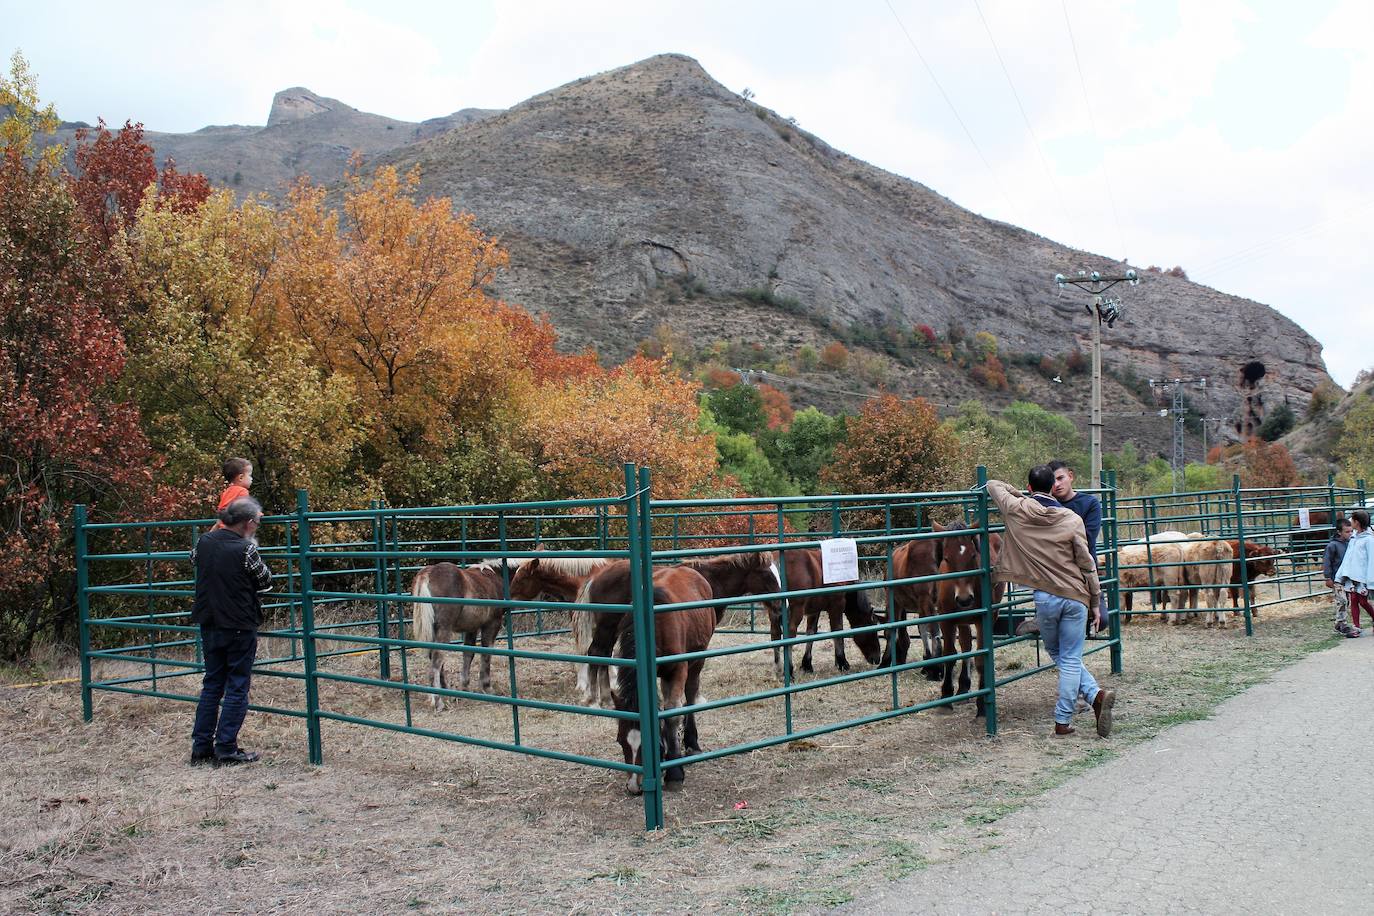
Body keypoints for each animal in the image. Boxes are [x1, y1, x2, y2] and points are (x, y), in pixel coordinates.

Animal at [412, 563, 511, 714]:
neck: (496, 574)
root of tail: (426, 574)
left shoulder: (472, 627)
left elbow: (468, 654)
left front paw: (464, 687)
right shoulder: (492, 624)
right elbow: (486, 653)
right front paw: (487, 687)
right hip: (444, 629)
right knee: (436, 661)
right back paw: (438, 702)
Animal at [612, 565, 719, 796]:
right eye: (620, 740)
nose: (634, 786)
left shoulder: (678, 670)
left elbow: (671, 714)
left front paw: (674, 773)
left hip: (697, 660)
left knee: (690, 694)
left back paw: (692, 743)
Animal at [763, 543, 879, 681]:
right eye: (872, 629)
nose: (877, 659)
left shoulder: (814, 611)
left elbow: (811, 633)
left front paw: (807, 665)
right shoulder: (836, 607)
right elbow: (837, 631)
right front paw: (842, 663)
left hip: (774, 612)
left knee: (775, 633)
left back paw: (778, 669)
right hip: (796, 610)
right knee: (790, 634)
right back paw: (789, 672)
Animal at [928, 527, 1005, 714]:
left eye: (972, 555)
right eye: (947, 558)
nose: (964, 599)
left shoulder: (982, 620)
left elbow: (981, 659)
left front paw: (982, 706)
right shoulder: (947, 621)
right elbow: (949, 656)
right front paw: (946, 698)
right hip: (962, 622)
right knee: (965, 645)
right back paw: (962, 688)